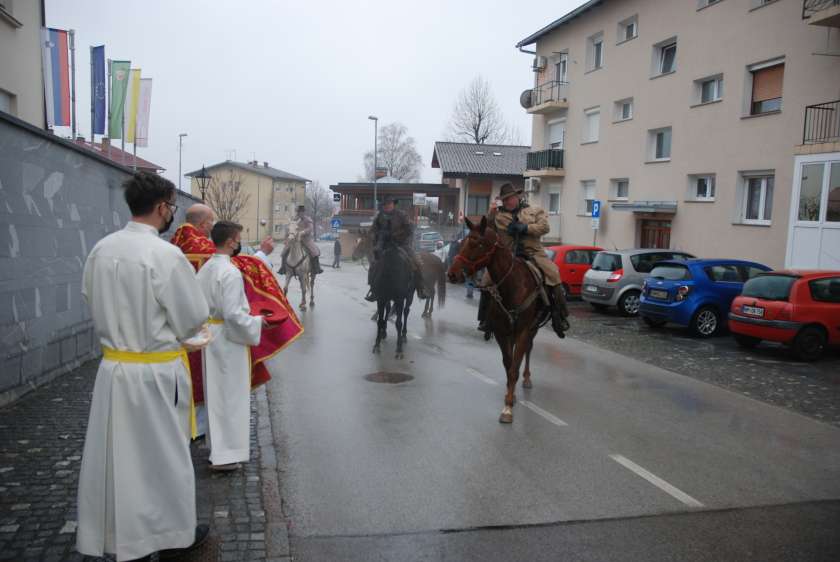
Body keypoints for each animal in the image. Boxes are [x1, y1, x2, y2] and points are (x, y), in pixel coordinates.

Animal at [446, 214, 552, 420]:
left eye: (478, 243)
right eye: (463, 241)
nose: (452, 273)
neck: (512, 285)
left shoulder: (523, 330)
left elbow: (514, 368)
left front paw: (508, 408)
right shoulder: (502, 332)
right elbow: (508, 365)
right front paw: (509, 398)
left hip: (532, 329)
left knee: (528, 350)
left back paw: (527, 379)